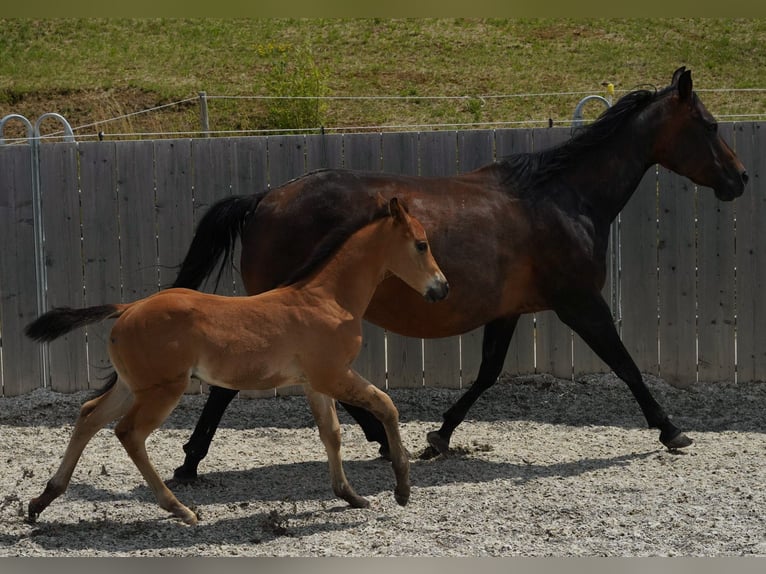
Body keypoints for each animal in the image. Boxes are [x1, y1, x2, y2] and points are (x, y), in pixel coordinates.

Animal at [25, 198, 450, 528]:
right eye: (421, 244)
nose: (442, 288)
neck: (328, 298)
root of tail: (127, 308)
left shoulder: (314, 382)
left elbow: (331, 433)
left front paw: (351, 496)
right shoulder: (333, 374)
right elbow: (386, 405)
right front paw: (401, 488)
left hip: (132, 385)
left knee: (89, 416)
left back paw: (41, 500)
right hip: (163, 389)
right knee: (129, 433)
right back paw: (180, 510)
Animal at [171, 66, 748, 486]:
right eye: (710, 125)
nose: (740, 179)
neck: (565, 199)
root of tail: (264, 198)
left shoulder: (509, 310)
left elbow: (488, 373)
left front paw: (438, 438)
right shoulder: (580, 301)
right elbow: (625, 364)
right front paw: (672, 431)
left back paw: (378, 439)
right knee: (235, 386)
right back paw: (189, 462)